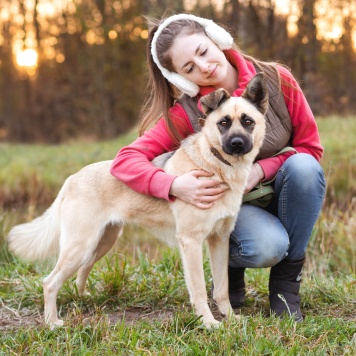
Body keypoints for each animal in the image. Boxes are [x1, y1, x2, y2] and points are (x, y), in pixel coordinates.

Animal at [6, 73, 268, 330]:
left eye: (248, 122)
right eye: (223, 123)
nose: (237, 143)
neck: (219, 166)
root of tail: (73, 178)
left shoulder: (219, 240)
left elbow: (222, 288)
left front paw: (230, 317)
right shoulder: (191, 242)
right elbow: (200, 289)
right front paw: (208, 322)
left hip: (101, 242)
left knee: (82, 270)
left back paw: (83, 298)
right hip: (80, 245)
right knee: (50, 282)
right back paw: (52, 322)